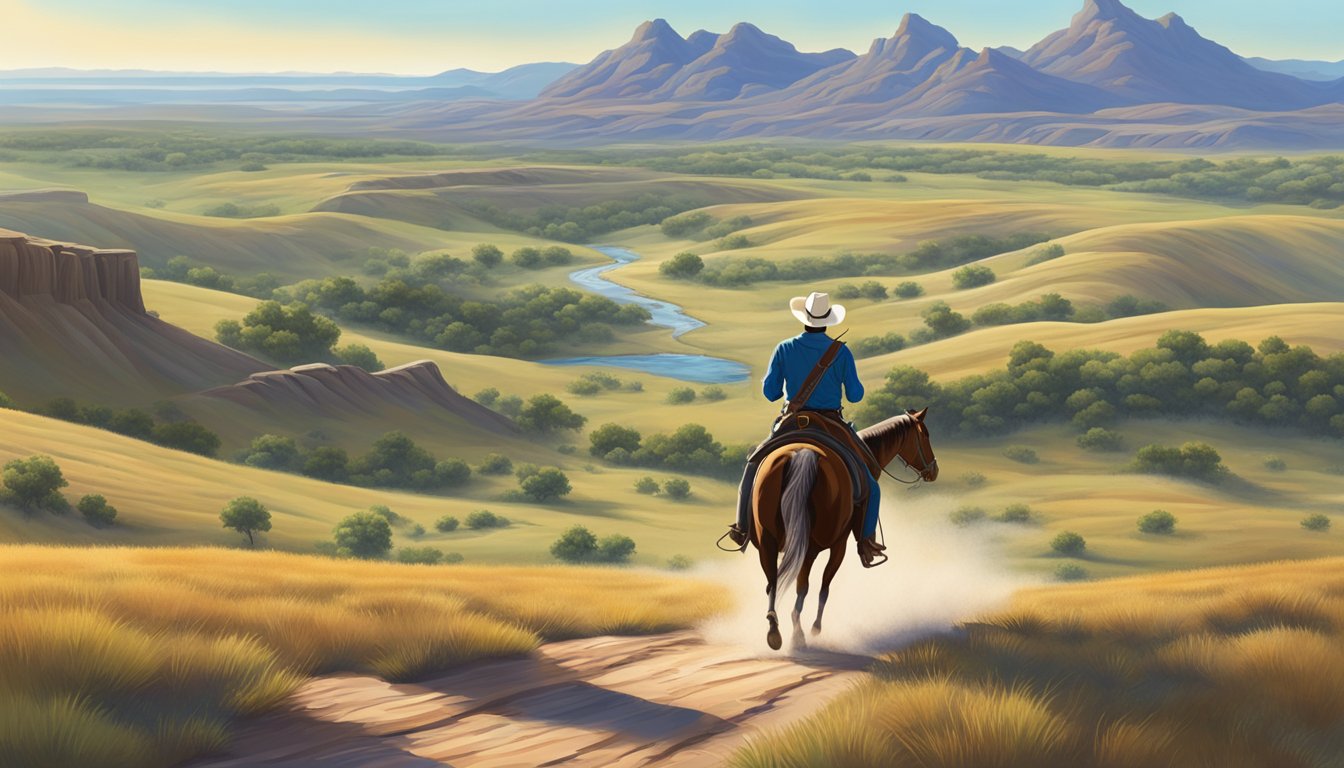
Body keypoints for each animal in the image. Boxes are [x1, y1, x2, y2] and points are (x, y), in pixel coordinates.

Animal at [747, 406, 946, 650]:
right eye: (925, 434)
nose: (934, 470)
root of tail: (802, 453)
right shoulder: (839, 544)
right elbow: (824, 587)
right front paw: (815, 629)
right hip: (812, 545)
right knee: (802, 586)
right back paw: (797, 633)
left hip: (768, 541)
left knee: (773, 581)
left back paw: (775, 631)